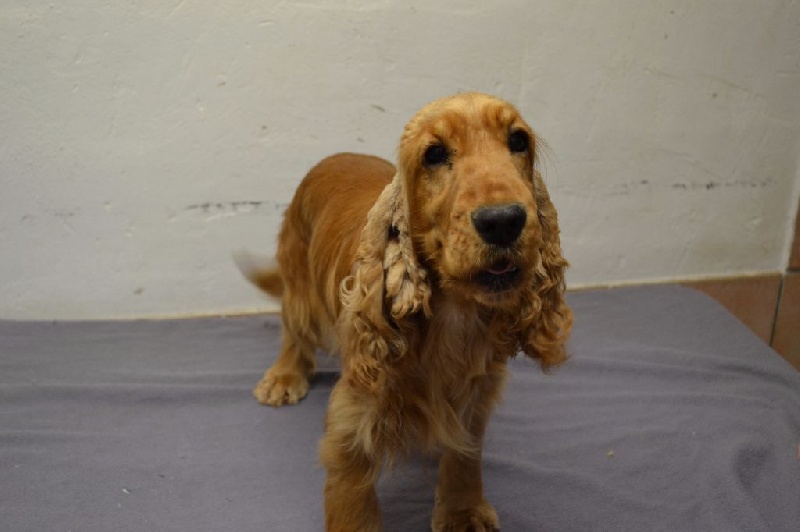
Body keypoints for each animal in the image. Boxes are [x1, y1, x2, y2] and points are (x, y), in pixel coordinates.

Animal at [237, 92, 572, 531]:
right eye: (434, 154)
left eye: (518, 141)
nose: (503, 221)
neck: (453, 314)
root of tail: (333, 156)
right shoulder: (353, 413)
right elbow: (352, 500)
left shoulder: (476, 395)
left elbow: (465, 455)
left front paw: (462, 511)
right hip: (299, 284)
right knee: (294, 330)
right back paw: (284, 377)